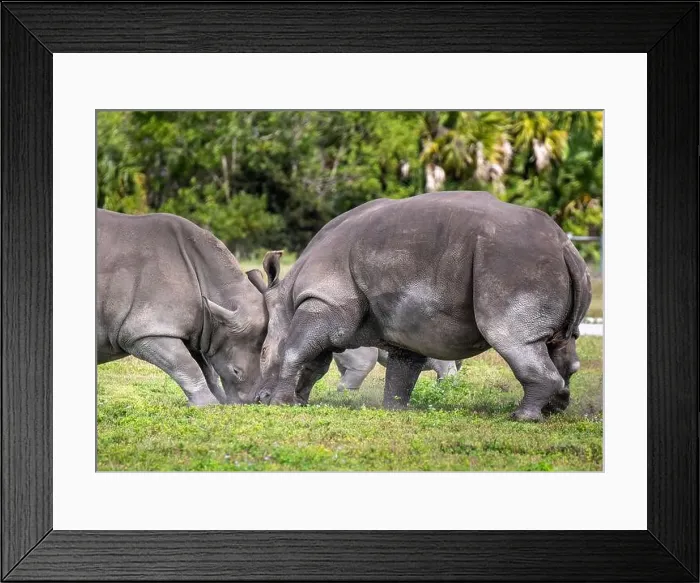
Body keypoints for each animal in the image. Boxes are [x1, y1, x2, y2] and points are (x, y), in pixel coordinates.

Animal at [97, 209, 267, 406]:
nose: (252, 403)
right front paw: (207, 405)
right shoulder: (144, 331)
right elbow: (185, 364)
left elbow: (206, 369)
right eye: (236, 371)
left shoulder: (203, 327)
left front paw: (218, 402)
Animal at [253, 191, 591, 421]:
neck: (287, 298)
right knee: (558, 341)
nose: (258, 398)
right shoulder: (403, 323)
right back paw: (555, 409)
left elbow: (296, 350)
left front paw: (281, 403)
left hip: (511, 262)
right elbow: (398, 372)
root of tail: (564, 245)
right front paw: (393, 409)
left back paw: (522, 417)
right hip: (540, 262)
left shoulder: (324, 300)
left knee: (511, 337)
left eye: (263, 353)